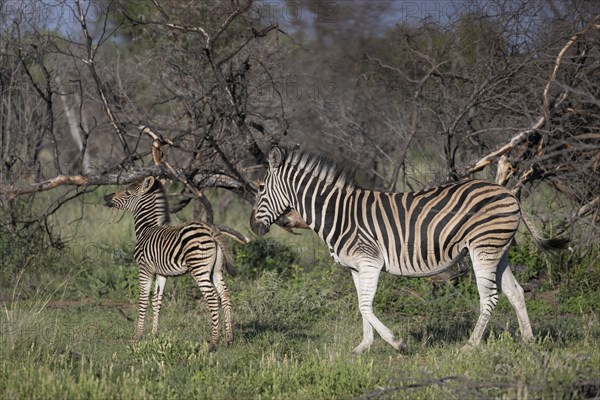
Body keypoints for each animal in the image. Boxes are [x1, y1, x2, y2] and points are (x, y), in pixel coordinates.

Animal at [104, 177, 236, 350]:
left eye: (127, 192)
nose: (105, 197)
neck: (146, 229)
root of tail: (210, 230)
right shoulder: (161, 273)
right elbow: (157, 301)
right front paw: (154, 334)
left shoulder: (144, 269)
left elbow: (143, 299)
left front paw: (137, 336)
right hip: (216, 270)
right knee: (225, 295)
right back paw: (229, 339)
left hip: (199, 268)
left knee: (213, 297)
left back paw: (213, 342)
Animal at [248, 147, 568, 354]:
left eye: (260, 188)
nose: (252, 227)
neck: (336, 212)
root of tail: (509, 193)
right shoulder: (355, 267)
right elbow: (361, 306)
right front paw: (363, 347)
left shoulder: (370, 260)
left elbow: (365, 306)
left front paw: (397, 343)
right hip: (498, 251)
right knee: (516, 292)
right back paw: (529, 342)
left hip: (483, 249)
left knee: (489, 298)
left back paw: (470, 345)